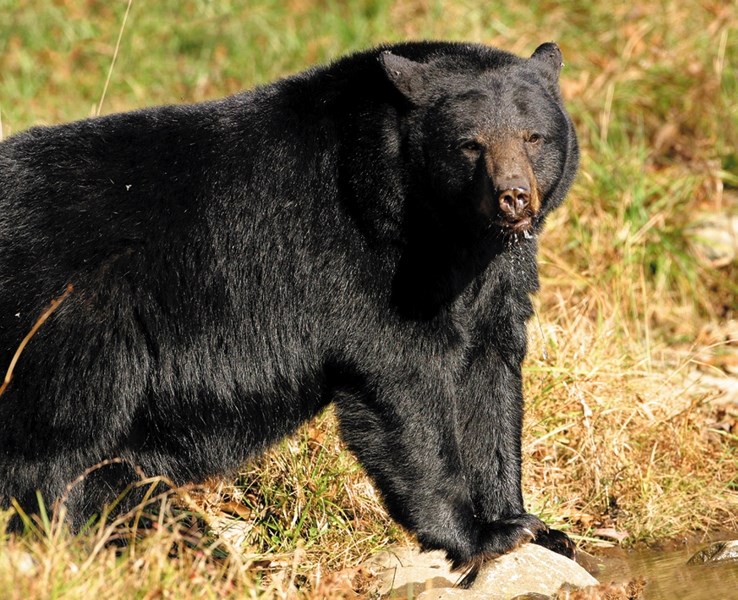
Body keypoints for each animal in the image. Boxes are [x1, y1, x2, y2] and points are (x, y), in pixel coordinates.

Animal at [0, 39, 576, 568]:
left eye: (534, 137)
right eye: (470, 145)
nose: (513, 197)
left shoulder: (493, 278)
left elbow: (490, 377)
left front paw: (534, 525)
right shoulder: (369, 270)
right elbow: (406, 388)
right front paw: (480, 534)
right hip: (70, 323)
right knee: (56, 445)